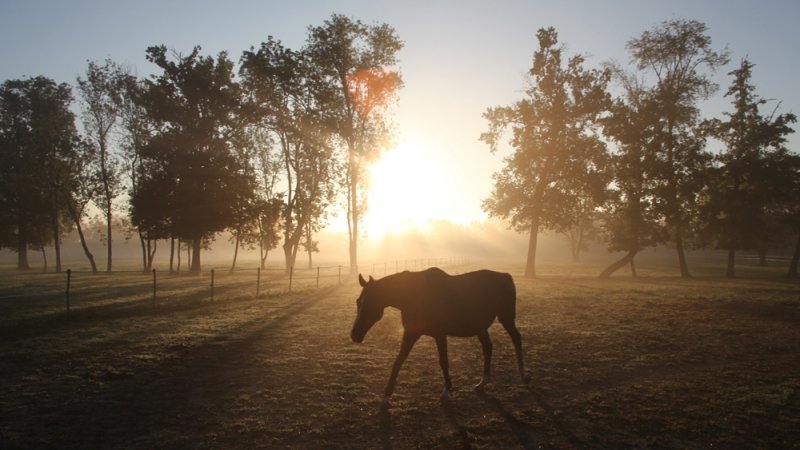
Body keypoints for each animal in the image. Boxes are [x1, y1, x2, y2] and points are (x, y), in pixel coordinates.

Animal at [350, 267, 529, 404]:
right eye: (358, 301)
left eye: (371, 303)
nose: (354, 335)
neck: (415, 296)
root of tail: (505, 276)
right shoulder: (411, 333)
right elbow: (398, 361)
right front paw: (387, 394)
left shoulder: (440, 335)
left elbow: (444, 362)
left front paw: (447, 391)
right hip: (480, 327)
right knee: (488, 347)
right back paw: (482, 383)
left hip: (506, 318)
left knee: (516, 338)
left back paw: (523, 374)